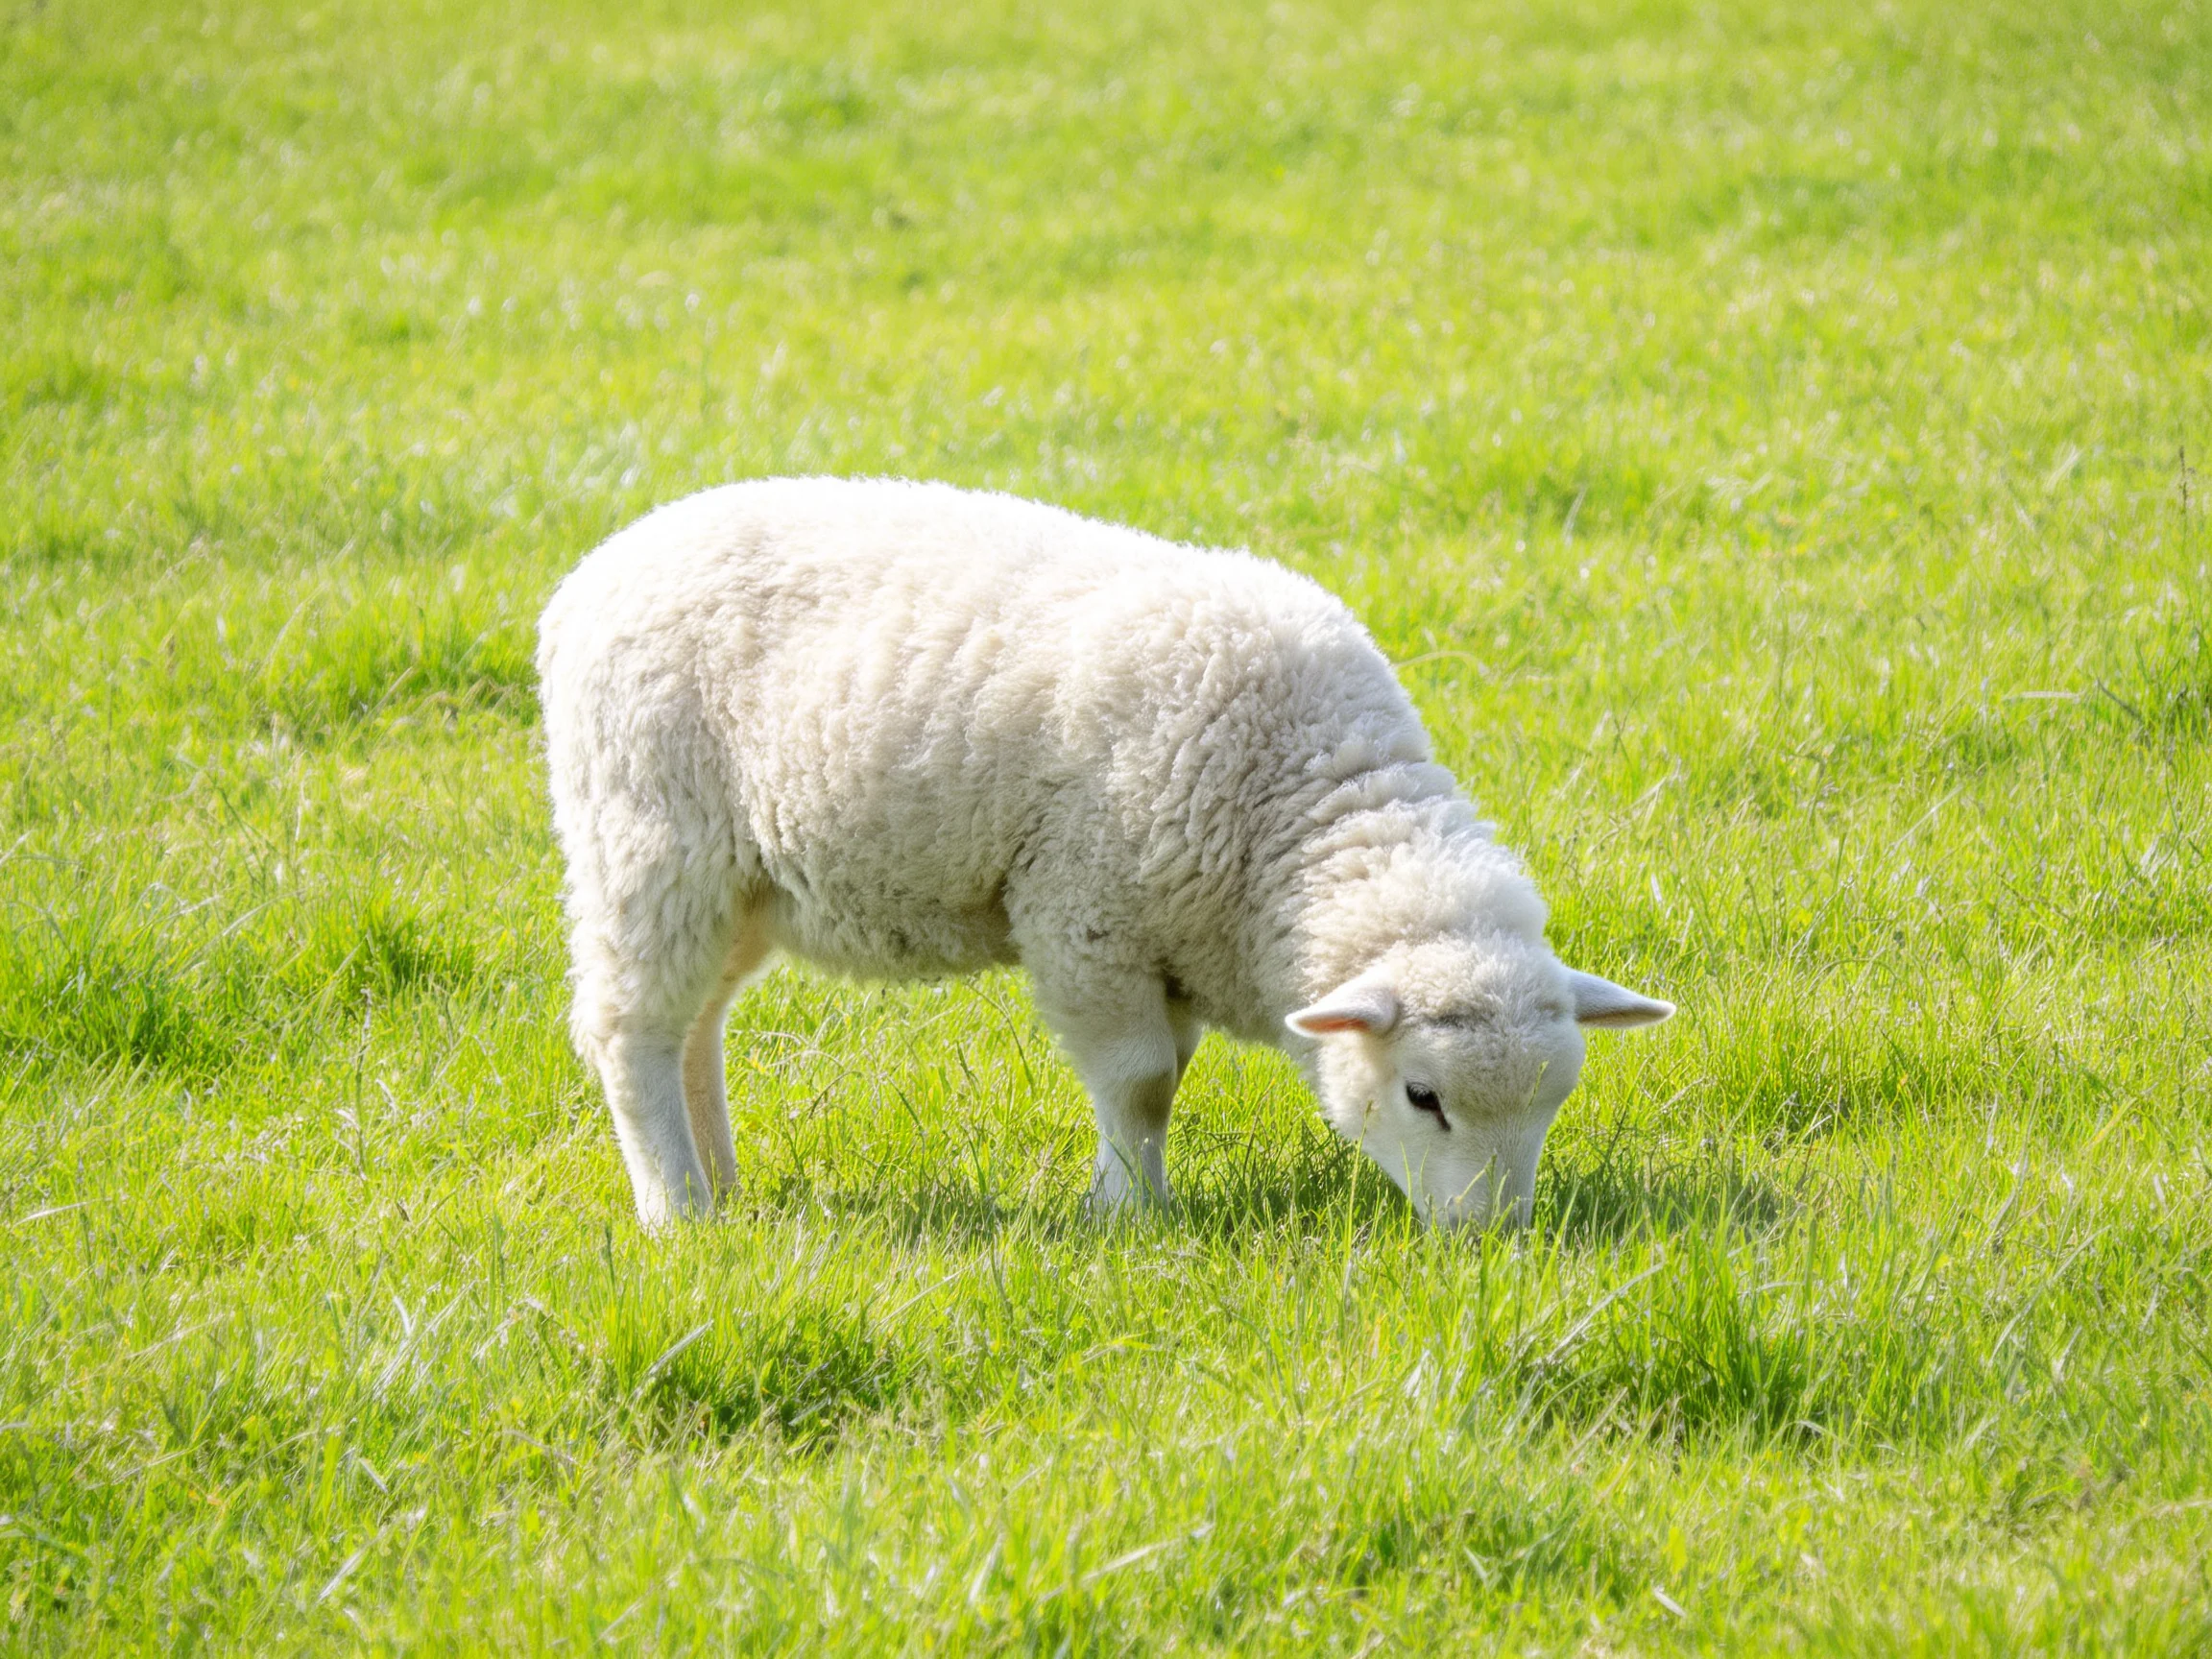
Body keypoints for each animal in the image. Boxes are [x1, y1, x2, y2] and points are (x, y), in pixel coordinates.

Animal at [536, 477, 1672, 1231]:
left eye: (1555, 1100)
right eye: (1423, 1097)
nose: (1492, 1242)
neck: (1297, 801)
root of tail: (596, 570)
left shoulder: (1176, 934)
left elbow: (1170, 1073)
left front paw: (1127, 1195)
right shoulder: (1086, 913)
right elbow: (1142, 1082)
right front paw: (1131, 1215)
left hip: (744, 883)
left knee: (698, 1028)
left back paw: (721, 1184)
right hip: (649, 841)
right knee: (631, 1032)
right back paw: (677, 1209)